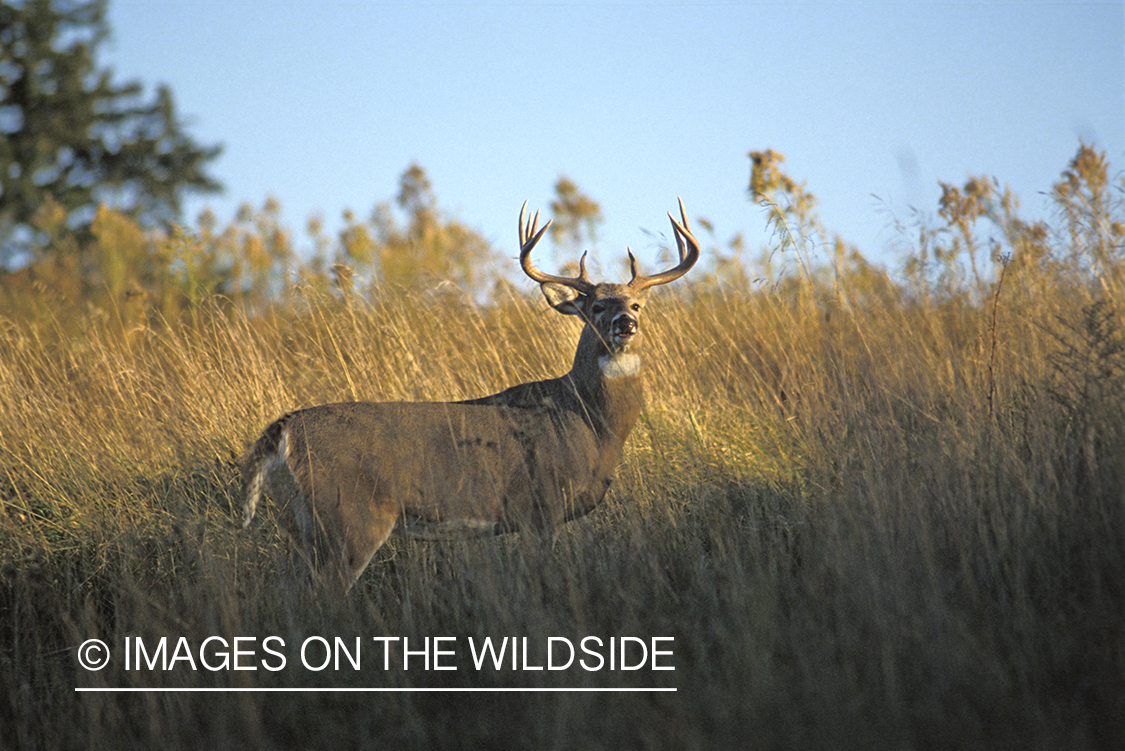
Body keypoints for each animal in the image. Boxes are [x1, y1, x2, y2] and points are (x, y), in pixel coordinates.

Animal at [243, 197, 697, 593]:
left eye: (637, 305)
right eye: (597, 307)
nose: (625, 324)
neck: (589, 423)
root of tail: (285, 429)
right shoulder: (541, 506)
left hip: (301, 523)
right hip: (352, 515)